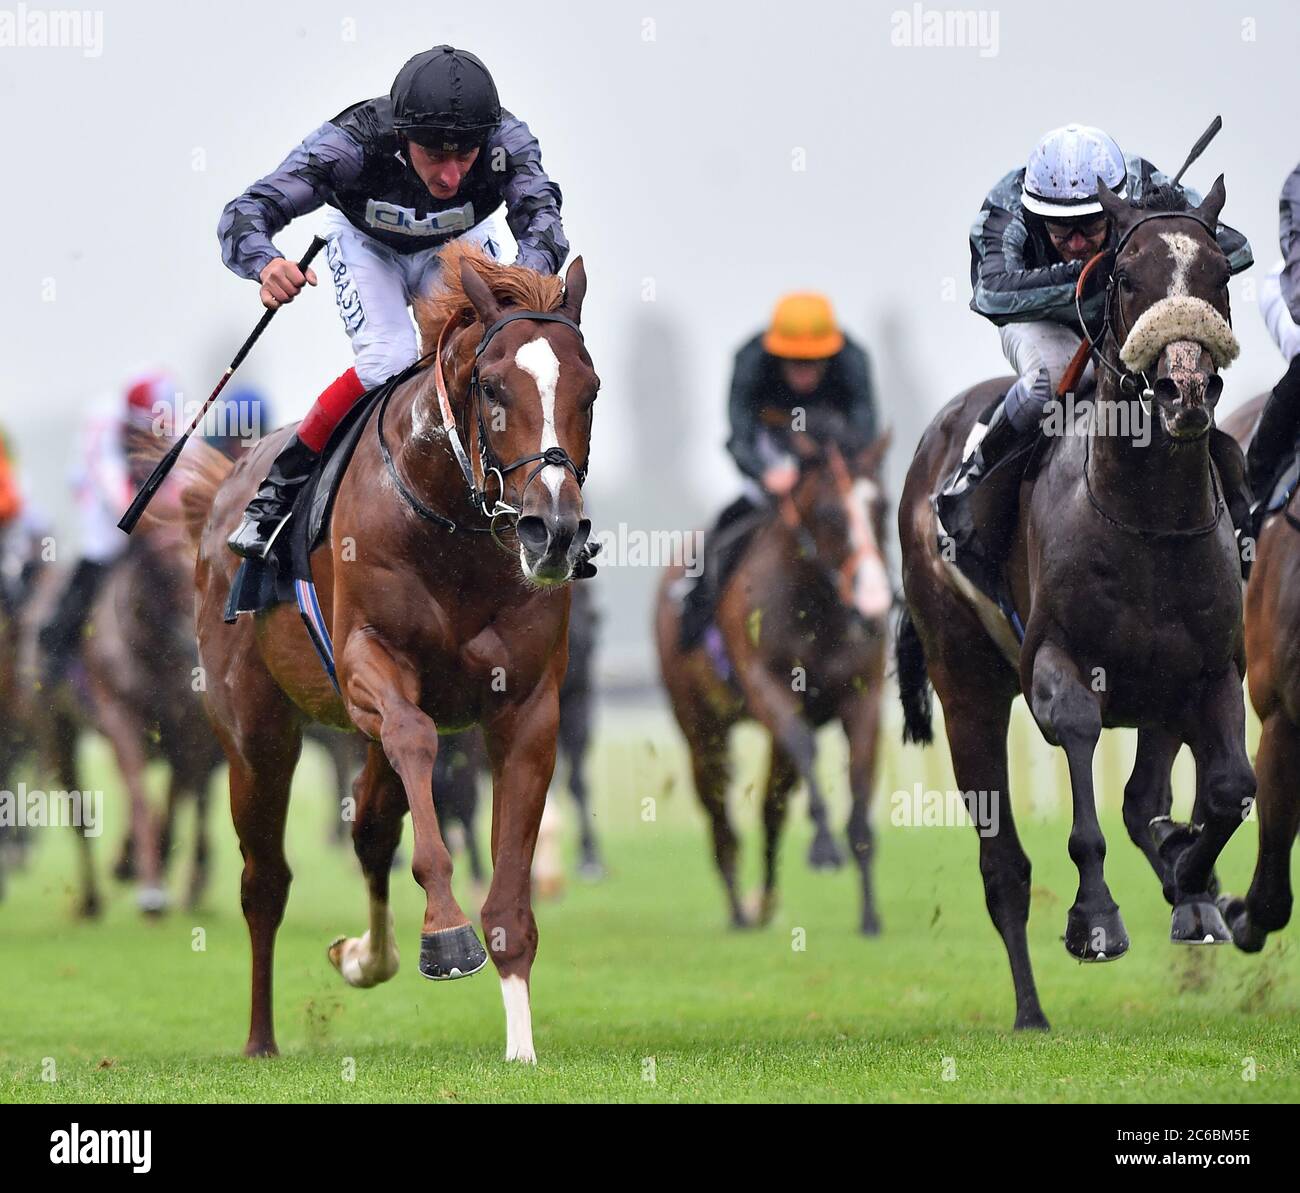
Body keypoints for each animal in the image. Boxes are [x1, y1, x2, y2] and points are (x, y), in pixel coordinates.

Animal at [175, 245, 595, 1065]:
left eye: (589, 389)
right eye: (493, 387)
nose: (554, 532)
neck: (456, 528)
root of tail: (221, 493)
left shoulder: (529, 706)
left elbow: (507, 897)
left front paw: (521, 1045)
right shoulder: (371, 667)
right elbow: (414, 741)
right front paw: (446, 933)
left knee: (369, 826)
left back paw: (366, 957)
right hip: (256, 735)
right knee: (264, 881)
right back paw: (261, 1038)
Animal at [655, 426, 889, 940]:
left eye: (880, 508)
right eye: (830, 513)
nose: (873, 602)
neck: (817, 609)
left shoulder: (863, 700)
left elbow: (859, 802)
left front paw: (869, 915)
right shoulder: (768, 687)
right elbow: (805, 747)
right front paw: (823, 848)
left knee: (770, 808)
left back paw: (763, 903)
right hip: (700, 726)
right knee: (720, 814)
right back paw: (740, 910)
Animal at [899, 179, 1253, 1034]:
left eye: (1218, 272)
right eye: (1124, 276)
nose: (1184, 388)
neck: (1146, 516)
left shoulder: (1210, 670)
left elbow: (1227, 790)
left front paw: (1193, 878)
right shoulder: (1054, 662)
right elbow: (1082, 748)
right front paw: (1096, 917)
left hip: (1158, 692)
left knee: (1142, 801)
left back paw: (1187, 886)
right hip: (966, 686)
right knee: (1003, 866)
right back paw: (1031, 1011)